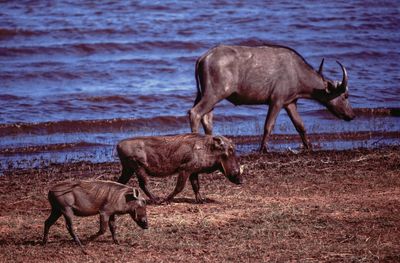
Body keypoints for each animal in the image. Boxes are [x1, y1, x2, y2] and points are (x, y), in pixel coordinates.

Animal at [189, 44, 354, 153]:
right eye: (345, 96)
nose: (351, 115)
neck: (296, 72)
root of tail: (203, 57)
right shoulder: (277, 101)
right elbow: (268, 125)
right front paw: (263, 149)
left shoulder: (290, 103)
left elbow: (300, 125)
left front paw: (308, 146)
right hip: (214, 94)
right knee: (195, 113)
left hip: (206, 95)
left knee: (207, 118)